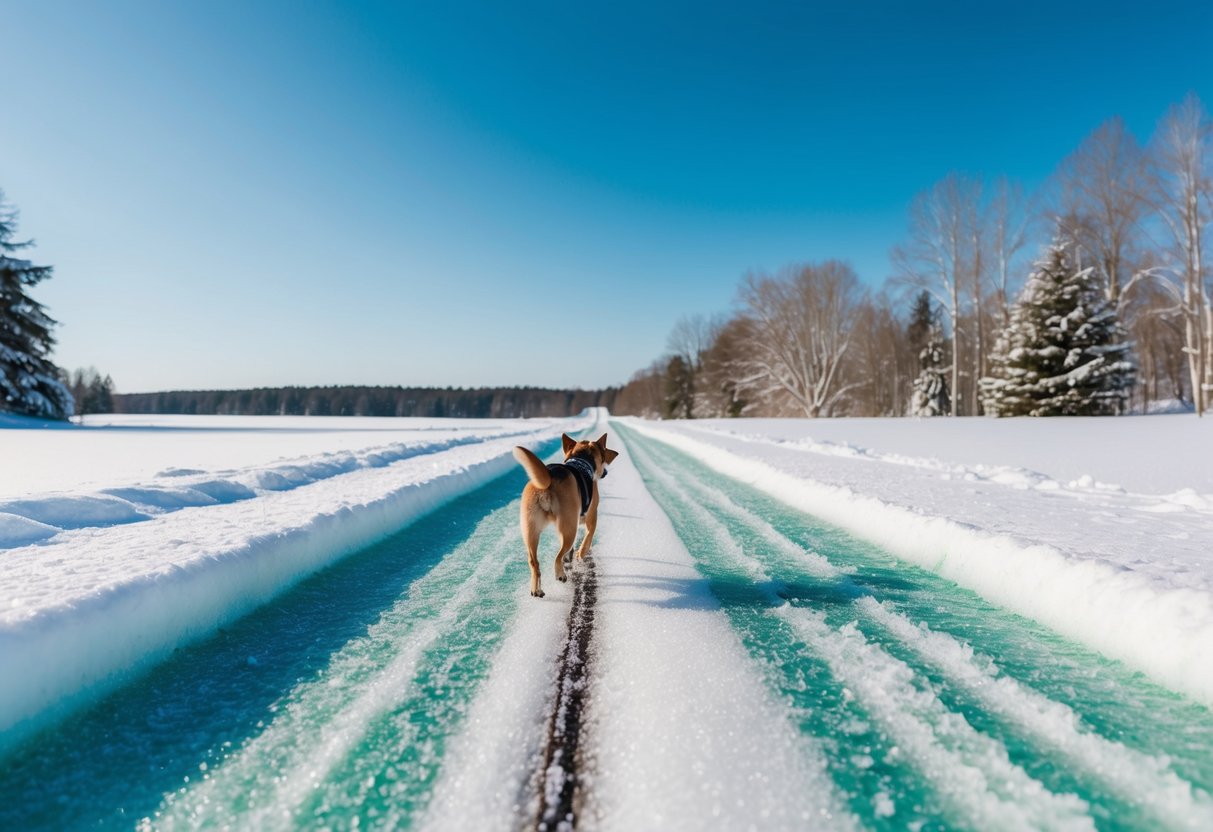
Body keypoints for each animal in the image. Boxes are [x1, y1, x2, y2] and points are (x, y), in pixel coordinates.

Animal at [511, 436, 621, 599]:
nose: (605, 472)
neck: (581, 459)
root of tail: (550, 478)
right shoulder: (591, 519)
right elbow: (587, 540)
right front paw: (580, 554)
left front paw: (572, 556)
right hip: (569, 528)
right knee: (558, 556)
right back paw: (560, 574)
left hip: (530, 530)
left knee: (534, 562)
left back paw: (536, 589)